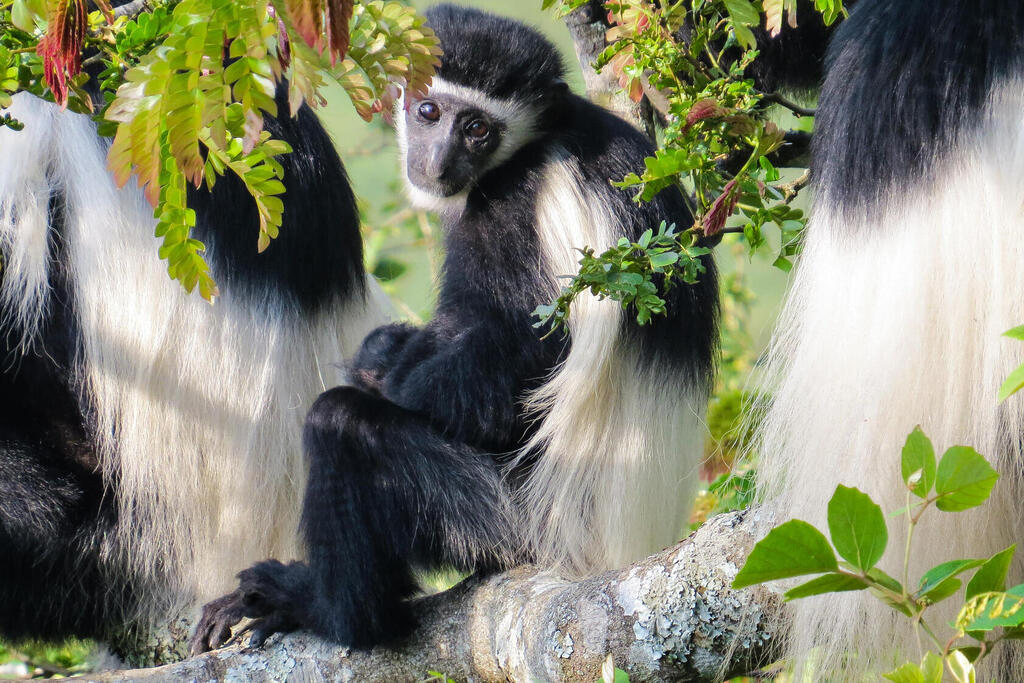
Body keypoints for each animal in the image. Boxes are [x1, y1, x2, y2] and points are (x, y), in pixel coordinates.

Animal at [191, 4, 718, 652]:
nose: (439, 162)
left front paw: (387, 374)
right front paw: (384, 348)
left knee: (344, 426)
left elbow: (502, 368)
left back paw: (327, 609)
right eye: (428, 111)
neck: (535, 144)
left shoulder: (516, 206)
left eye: (478, 129)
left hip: (503, 519)